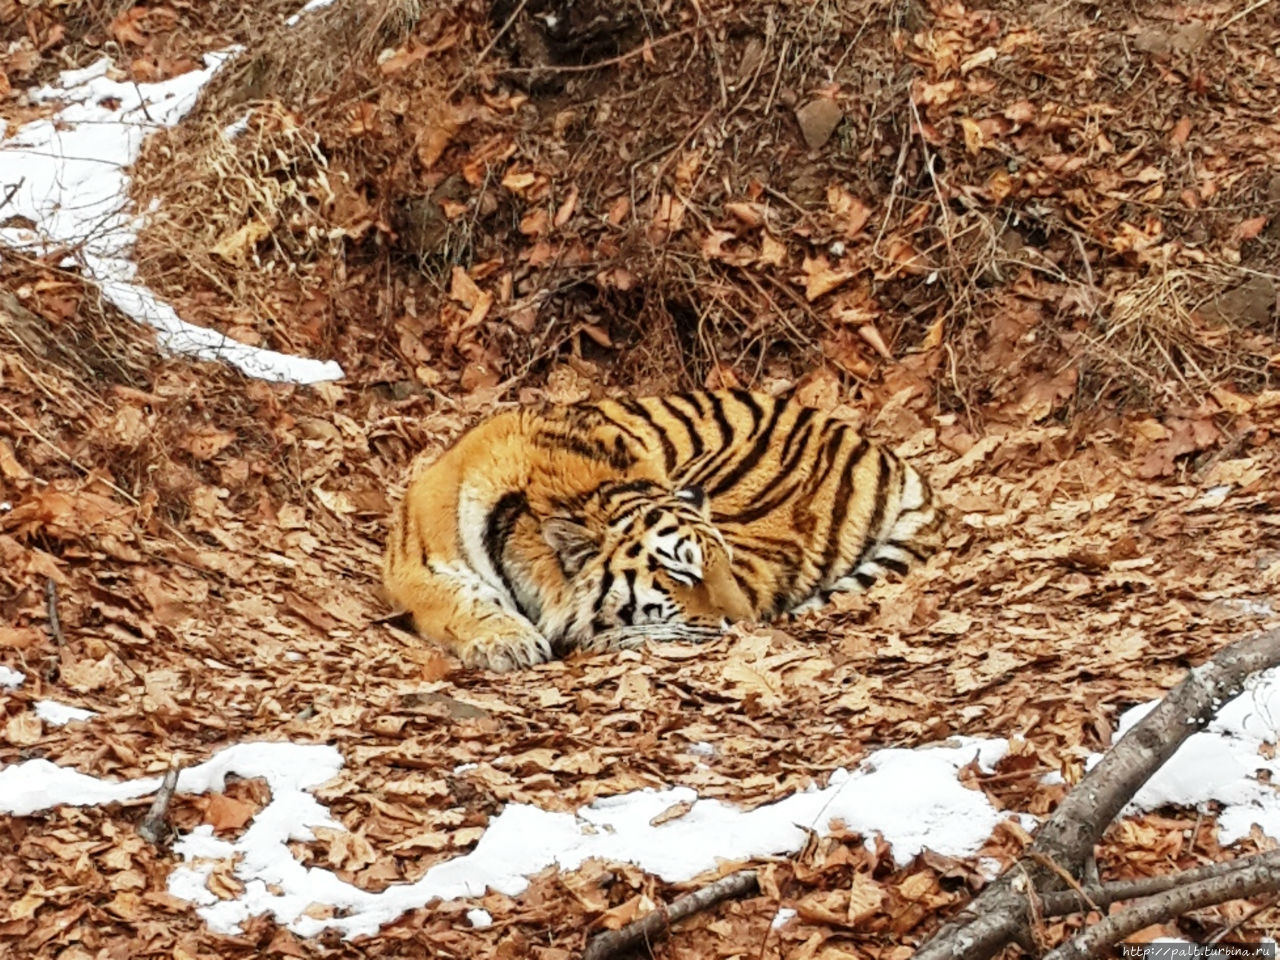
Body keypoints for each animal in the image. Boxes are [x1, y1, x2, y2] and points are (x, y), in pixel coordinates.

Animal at [381, 386, 942, 670]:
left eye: (721, 569)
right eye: (683, 575)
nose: (744, 630)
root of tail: (886, 455)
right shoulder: (412, 566)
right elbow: (459, 599)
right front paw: (508, 642)